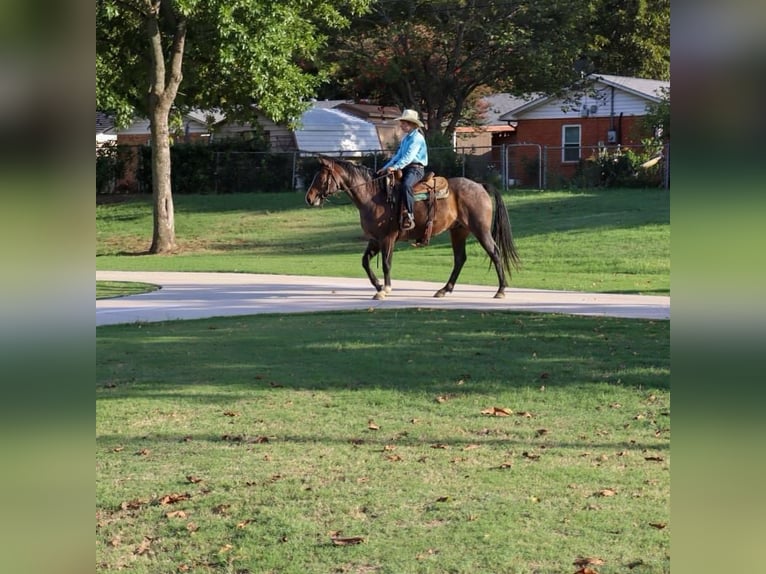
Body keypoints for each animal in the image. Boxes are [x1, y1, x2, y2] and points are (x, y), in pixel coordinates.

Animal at [305, 156, 521, 300]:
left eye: (321, 177)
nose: (309, 198)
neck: (373, 195)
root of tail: (480, 186)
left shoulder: (387, 238)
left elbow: (386, 264)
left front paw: (385, 290)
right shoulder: (375, 239)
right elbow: (365, 262)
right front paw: (378, 286)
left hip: (480, 230)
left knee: (495, 253)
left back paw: (500, 290)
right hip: (458, 231)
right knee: (460, 259)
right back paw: (444, 290)